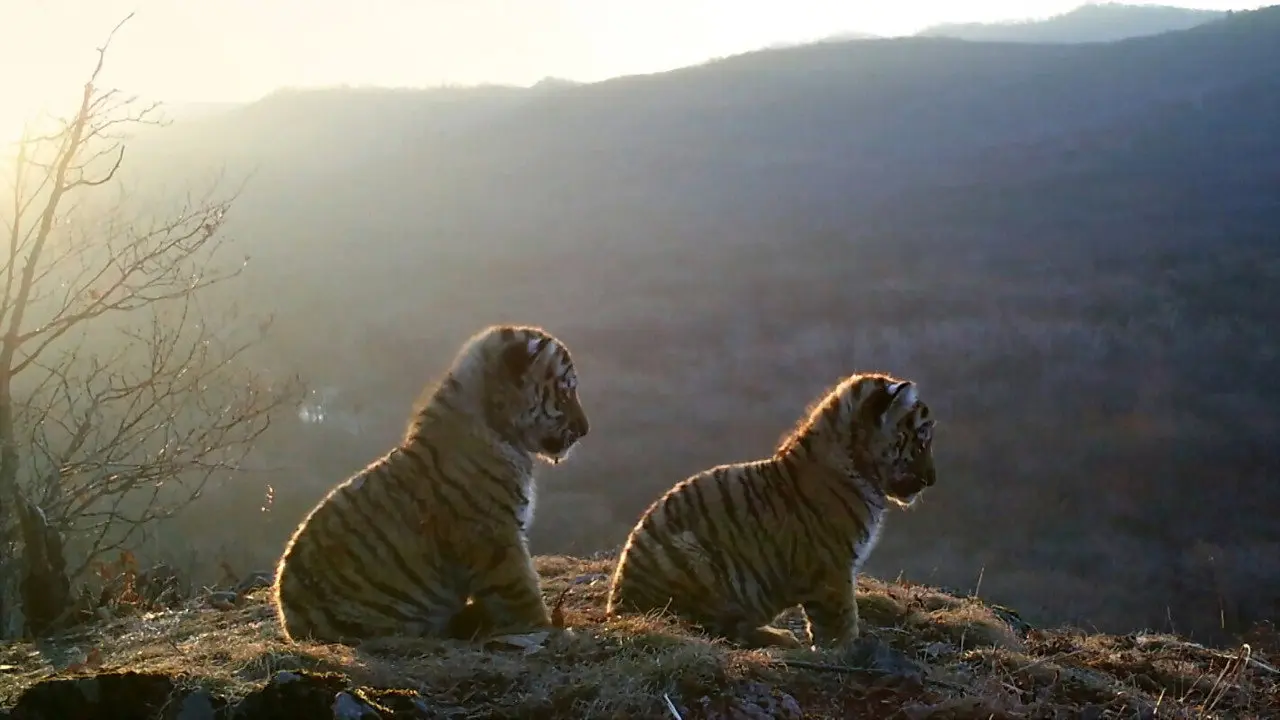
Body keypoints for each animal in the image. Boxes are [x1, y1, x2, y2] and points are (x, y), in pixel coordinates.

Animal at [272, 324, 590, 645]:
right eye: (566, 391)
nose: (585, 430)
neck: (496, 424)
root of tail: (291, 625)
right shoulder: (493, 533)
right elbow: (520, 588)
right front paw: (547, 627)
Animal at [605, 372, 936, 650]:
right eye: (921, 440)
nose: (932, 480)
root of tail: (618, 607)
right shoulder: (832, 567)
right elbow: (841, 617)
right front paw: (845, 650)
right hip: (693, 558)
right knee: (711, 628)